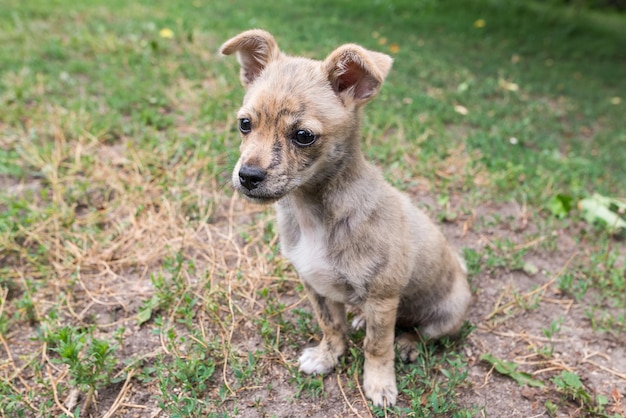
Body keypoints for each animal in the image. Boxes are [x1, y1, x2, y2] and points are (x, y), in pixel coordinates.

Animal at [219, 30, 468, 408]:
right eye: (244, 124)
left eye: (303, 136)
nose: (248, 176)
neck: (312, 213)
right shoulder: (317, 286)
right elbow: (330, 326)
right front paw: (328, 356)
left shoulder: (383, 297)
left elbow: (377, 346)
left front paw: (379, 384)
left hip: (447, 315)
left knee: (421, 333)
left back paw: (407, 344)